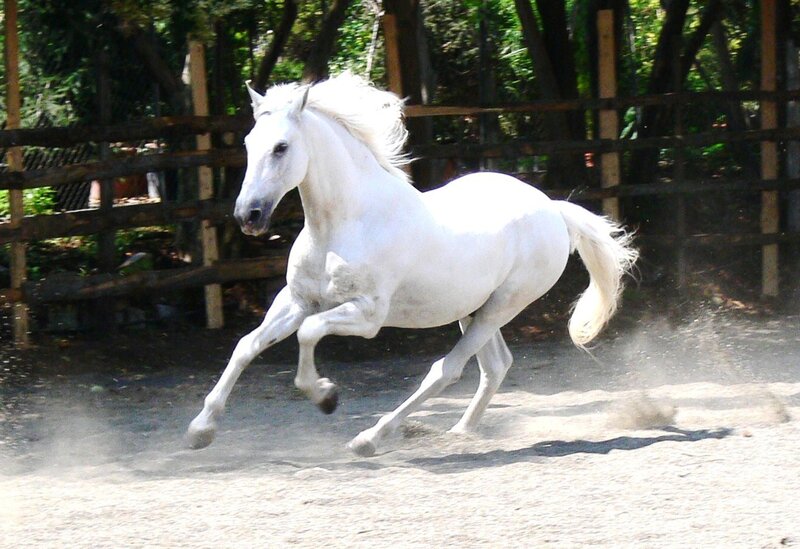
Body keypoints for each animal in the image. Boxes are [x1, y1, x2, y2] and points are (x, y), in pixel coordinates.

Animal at [187, 72, 638, 457]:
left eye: (281, 147)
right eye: (248, 143)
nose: (249, 215)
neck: (342, 225)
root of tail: (553, 209)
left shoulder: (367, 315)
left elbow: (309, 333)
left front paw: (326, 395)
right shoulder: (297, 300)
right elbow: (246, 346)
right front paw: (200, 430)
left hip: (503, 306)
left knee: (447, 370)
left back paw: (370, 438)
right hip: (471, 308)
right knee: (495, 366)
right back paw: (460, 431)